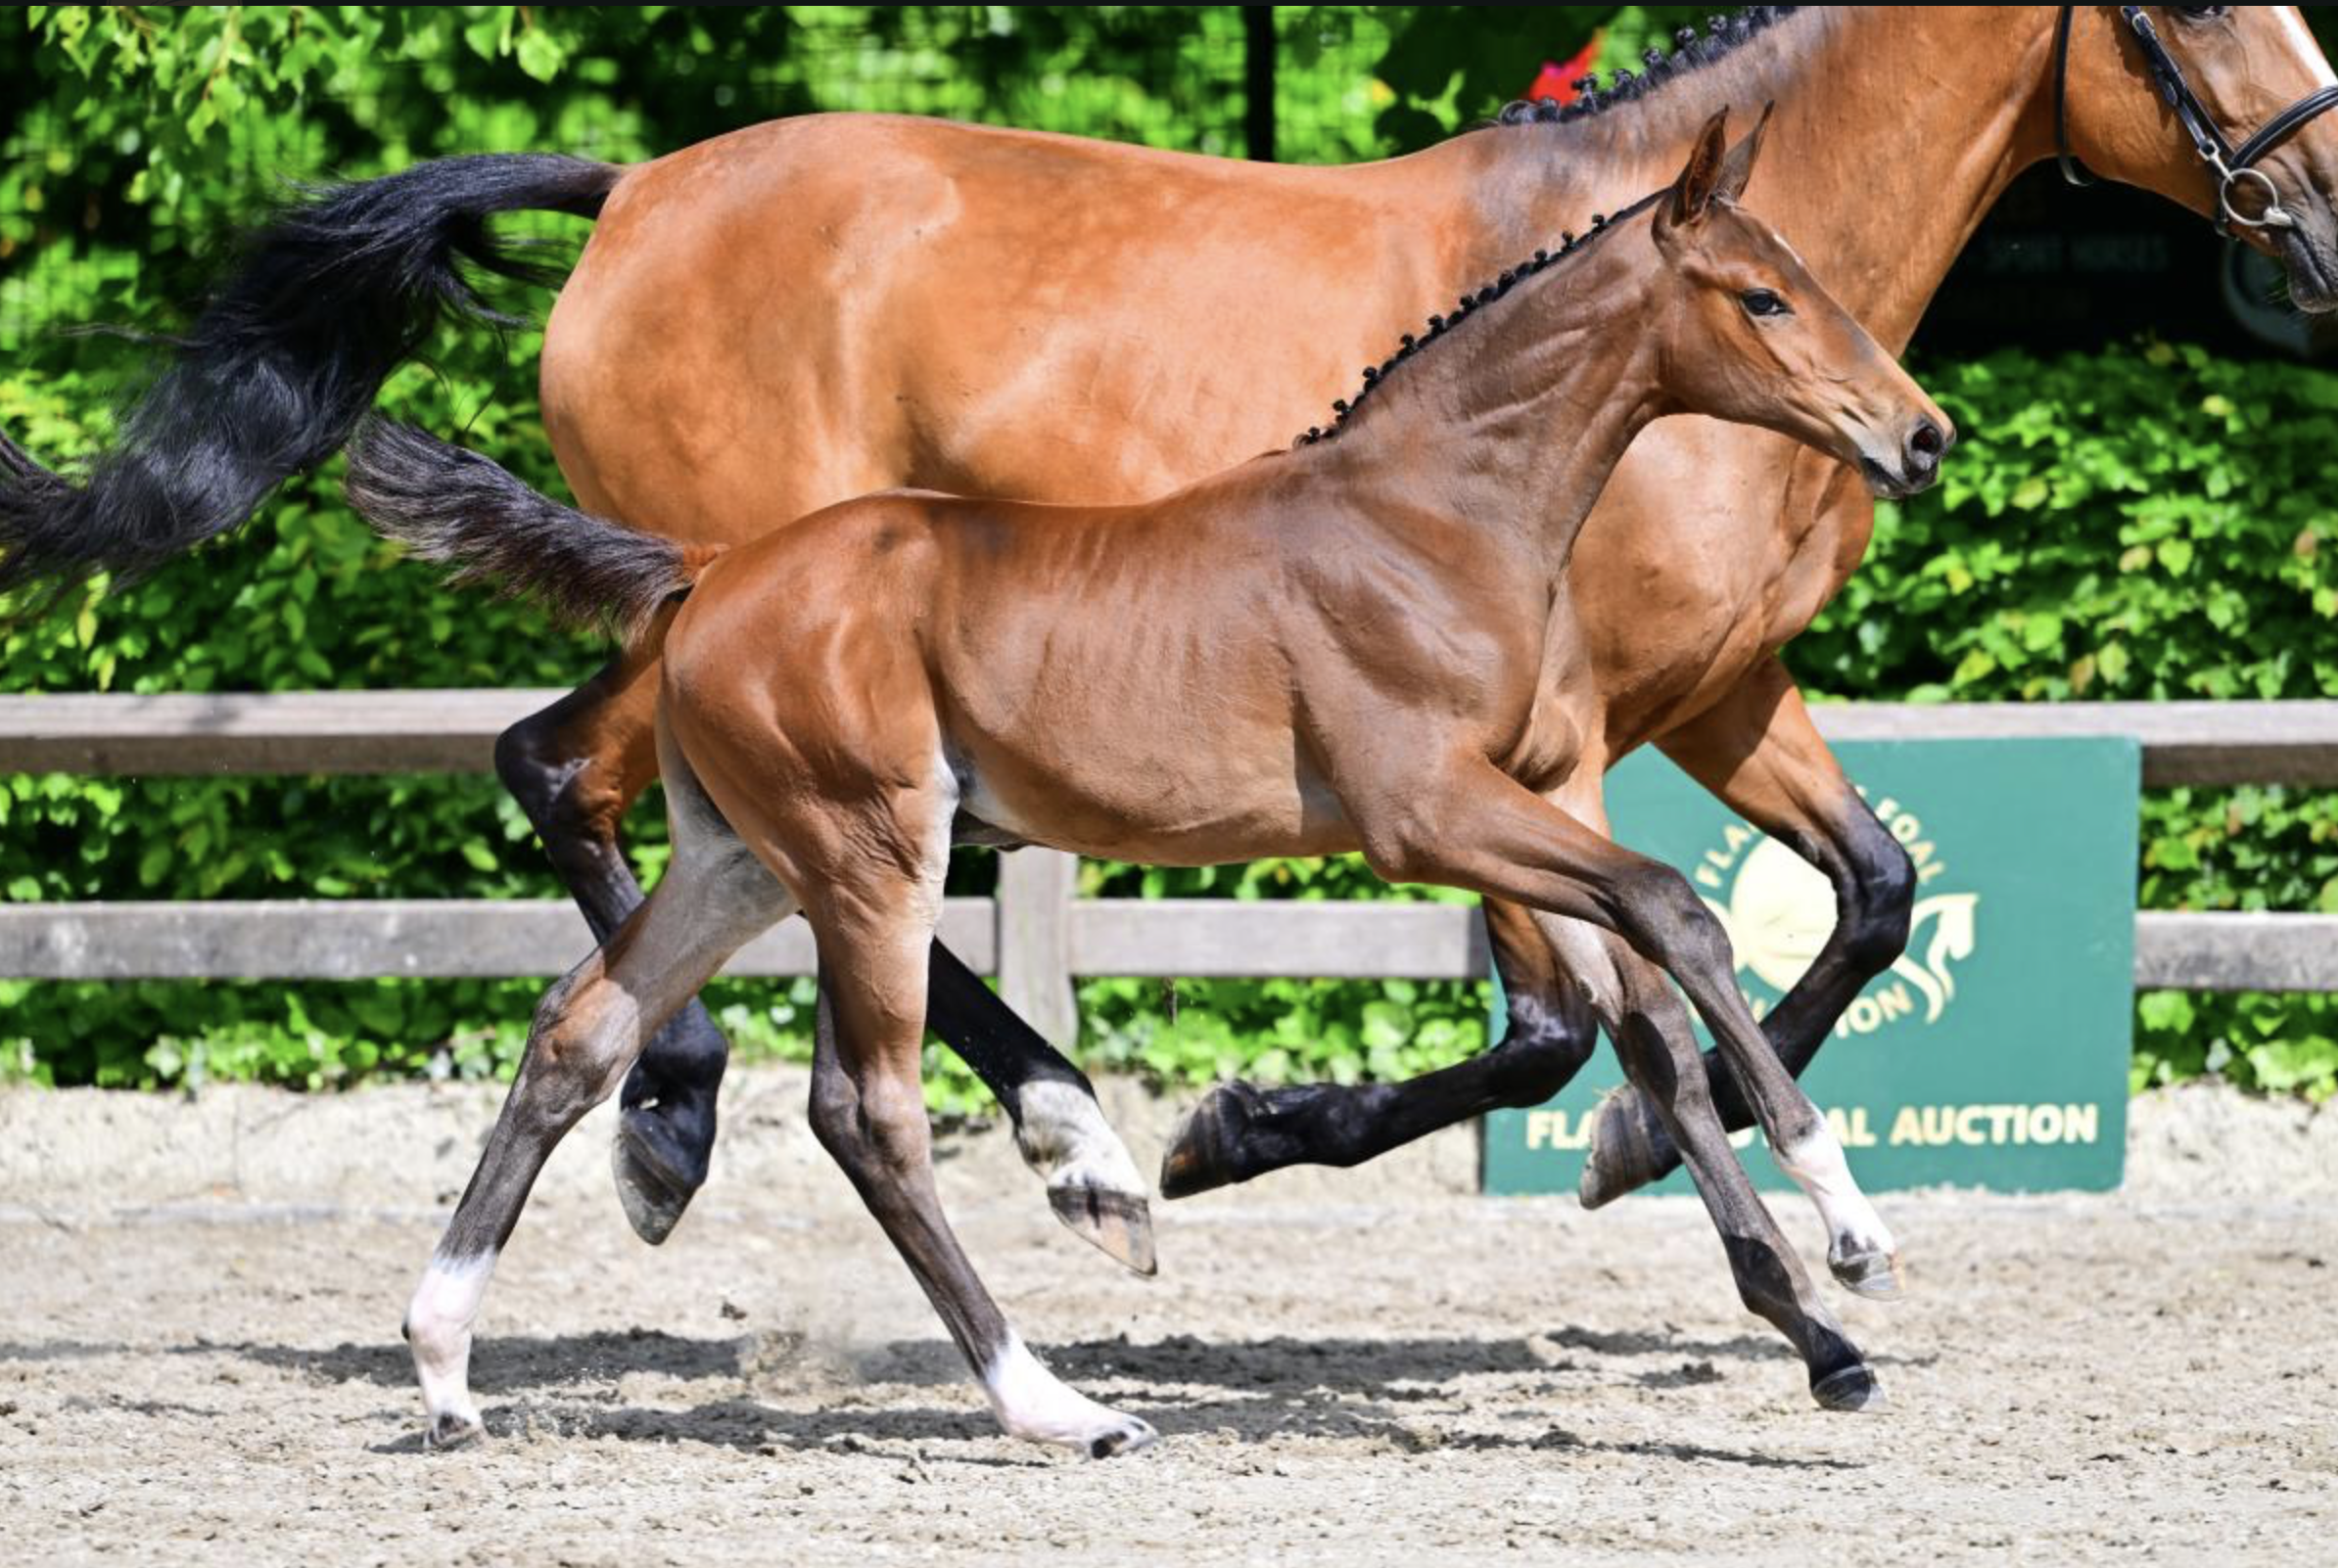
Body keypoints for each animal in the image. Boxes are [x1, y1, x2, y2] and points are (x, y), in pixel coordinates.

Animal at [5, 8, 2337, 1264]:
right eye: (2204, 10)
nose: (2320, 237)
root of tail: (644, 187)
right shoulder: (1541, 748)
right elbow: (1555, 1015)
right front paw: (1254, 1131)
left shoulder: (1713, 692)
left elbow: (1857, 893)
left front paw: (1625, 1157)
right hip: (739, 620)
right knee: (567, 779)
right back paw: (912, 1130)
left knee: (595, 795)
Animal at [351, 110, 1950, 1453]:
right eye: (1762, 298)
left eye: (1807, 276)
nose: (1921, 434)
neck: (1432, 515)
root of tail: (709, 573)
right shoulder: (1428, 815)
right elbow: (1680, 915)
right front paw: (1854, 1235)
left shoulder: (1542, 798)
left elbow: (1654, 1032)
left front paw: (1817, 1332)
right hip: (870, 853)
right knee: (865, 1110)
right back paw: (1056, 1390)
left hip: (738, 859)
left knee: (579, 1029)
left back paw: (446, 1368)